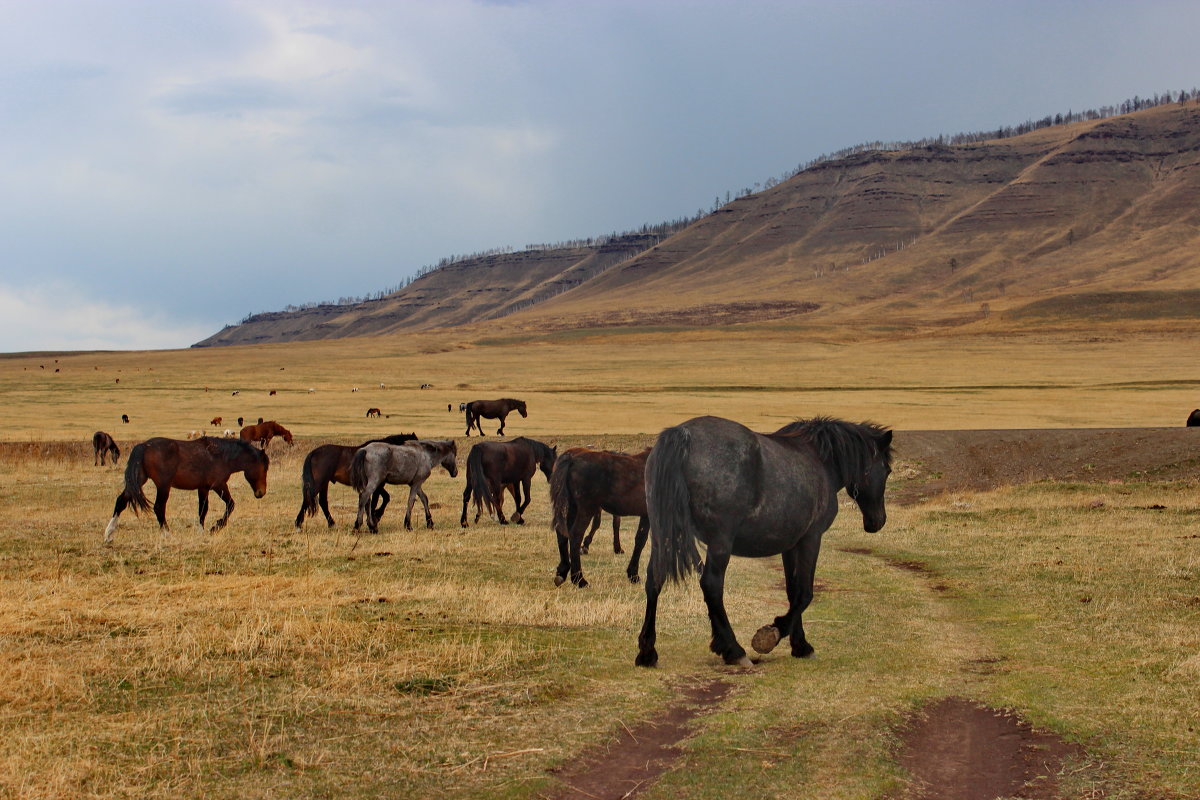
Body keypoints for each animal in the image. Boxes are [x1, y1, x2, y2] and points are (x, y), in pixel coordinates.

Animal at [103, 438, 270, 544]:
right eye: (265, 468)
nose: (261, 493)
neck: (220, 455)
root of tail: (144, 446)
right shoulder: (219, 485)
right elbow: (230, 505)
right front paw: (215, 527)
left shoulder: (203, 488)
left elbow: (203, 510)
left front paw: (201, 532)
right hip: (163, 486)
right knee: (159, 508)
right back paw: (168, 535)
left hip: (138, 481)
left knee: (120, 502)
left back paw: (109, 534)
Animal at [549, 448, 652, 592]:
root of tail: (572, 460)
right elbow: (643, 541)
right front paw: (634, 575)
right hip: (586, 509)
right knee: (575, 536)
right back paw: (580, 579)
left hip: (572, 508)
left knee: (562, 533)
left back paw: (563, 572)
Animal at [638, 417, 892, 666]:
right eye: (887, 470)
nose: (877, 521)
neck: (820, 461)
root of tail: (682, 434)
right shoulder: (811, 538)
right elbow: (805, 593)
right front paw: (772, 634)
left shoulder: (790, 545)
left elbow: (793, 591)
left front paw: (800, 645)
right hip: (720, 543)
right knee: (711, 585)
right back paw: (733, 650)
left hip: (662, 534)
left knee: (654, 580)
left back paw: (647, 652)